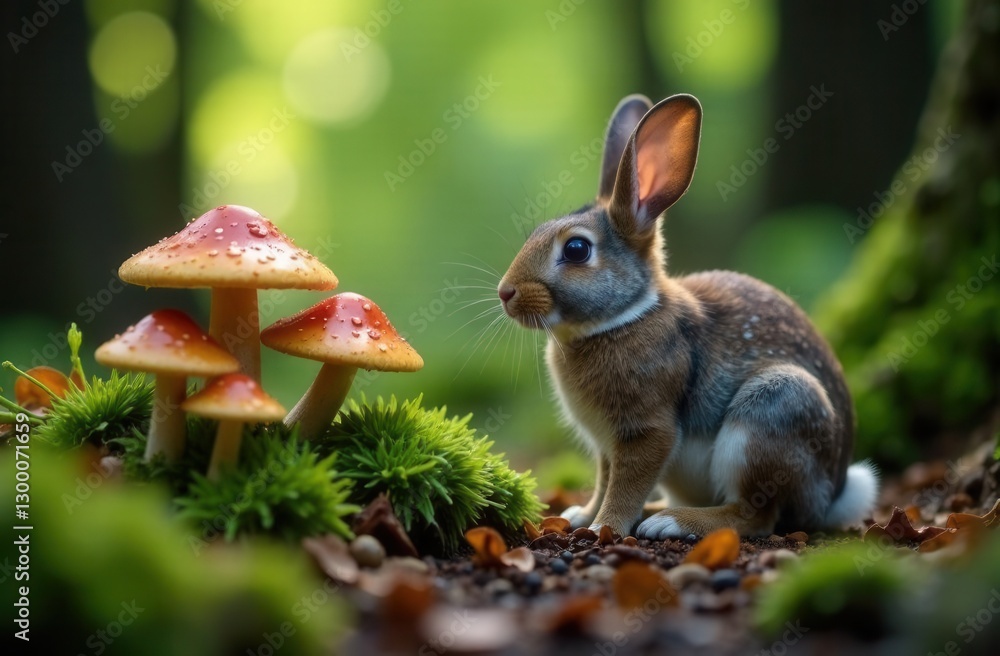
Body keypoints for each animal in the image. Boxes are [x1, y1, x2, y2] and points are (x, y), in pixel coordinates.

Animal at [497, 93, 878, 539]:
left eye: (576, 249)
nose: (506, 293)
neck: (622, 317)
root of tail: (833, 495)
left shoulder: (647, 431)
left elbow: (625, 485)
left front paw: (603, 528)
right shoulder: (606, 446)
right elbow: (606, 479)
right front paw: (581, 517)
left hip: (773, 411)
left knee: (755, 514)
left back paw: (672, 522)